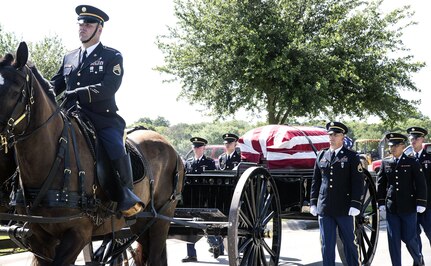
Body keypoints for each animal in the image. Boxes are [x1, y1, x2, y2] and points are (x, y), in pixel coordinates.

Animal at [0, 42, 184, 264]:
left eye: (15, 90)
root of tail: (173, 150)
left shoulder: (77, 233)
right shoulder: (39, 237)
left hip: (160, 220)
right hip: (142, 224)